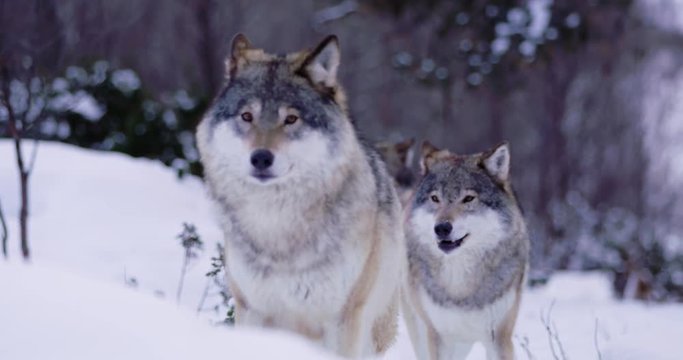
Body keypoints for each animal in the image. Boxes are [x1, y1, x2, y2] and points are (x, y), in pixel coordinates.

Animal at [195, 34, 404, 358]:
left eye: (291, 119)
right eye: (247, 116)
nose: (261, 158)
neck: (278, 228)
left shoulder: (343, 320)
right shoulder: (252, 309)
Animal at [404, 141, 532, 360]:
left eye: (468, 198)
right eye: (435, 198)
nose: (441, 228)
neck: (460, 286)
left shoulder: (499, 337)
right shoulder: (437, 337)